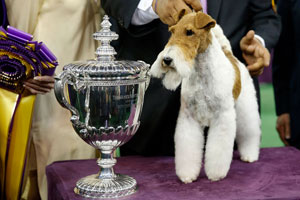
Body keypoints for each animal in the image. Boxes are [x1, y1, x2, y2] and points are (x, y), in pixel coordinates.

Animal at [150, 10, 260, 183]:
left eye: (189, 32)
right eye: (172, 31)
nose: (167, 60)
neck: (201, 72)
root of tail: (231, 56)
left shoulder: (222, 118)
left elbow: (218, 150)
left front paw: (216, 174)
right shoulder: (189, 117)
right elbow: (188, 148)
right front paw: (187, 175)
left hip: (245, 106)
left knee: (250, 130)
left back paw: (249, 155)